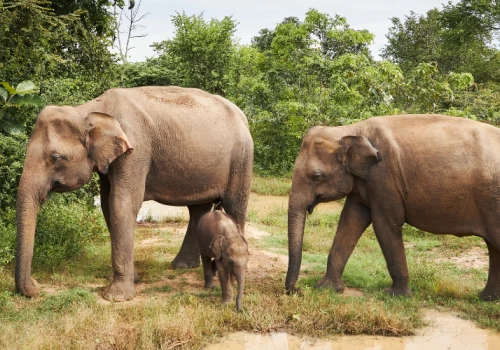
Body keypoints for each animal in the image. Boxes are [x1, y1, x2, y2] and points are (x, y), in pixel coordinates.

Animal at [15, 86, 254, 302]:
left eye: (55, 158)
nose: (35, 288)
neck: (89, 109)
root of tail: (242, 115)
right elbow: (107, 205)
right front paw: (134, 278)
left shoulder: (136, 151)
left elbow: (122, 203)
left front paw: (116, 297)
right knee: (199, 209)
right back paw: (182, 266)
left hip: (241, 158)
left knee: (234, 206)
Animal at [288, 115, 500, 300]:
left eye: (316, 176)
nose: (296, 291)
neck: (349, 130)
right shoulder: (364, 183)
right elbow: (350, 220)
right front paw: (327, 288)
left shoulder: (384, 177)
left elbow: (385, 225)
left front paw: (396, 296)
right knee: (493, 247)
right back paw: (486, 298)